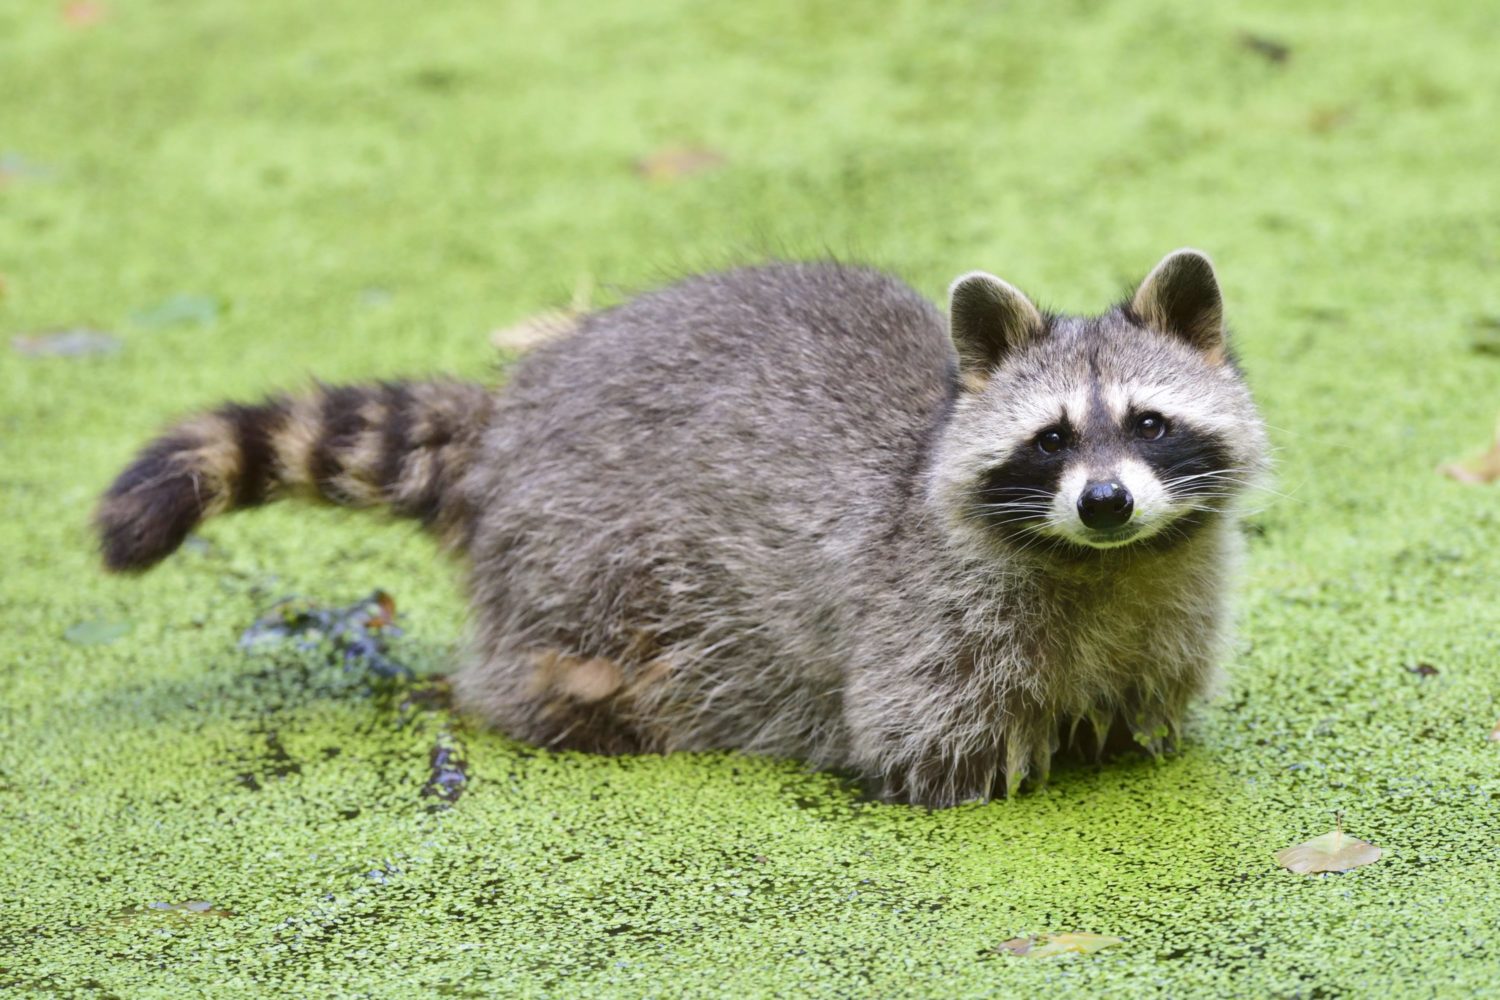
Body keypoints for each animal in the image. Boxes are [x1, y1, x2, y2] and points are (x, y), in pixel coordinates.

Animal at [96, 249, 1268, 806]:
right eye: (1051, 438)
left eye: (1149, 423)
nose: (1106, 503)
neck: (1101, 565)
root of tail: (509, 417)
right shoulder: (926, 627)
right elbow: (921, 756)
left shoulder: (1165, 615)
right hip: (582, 565)